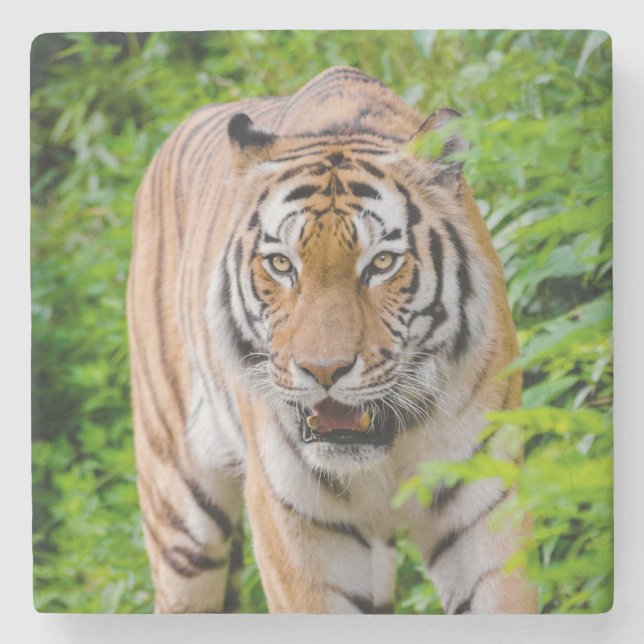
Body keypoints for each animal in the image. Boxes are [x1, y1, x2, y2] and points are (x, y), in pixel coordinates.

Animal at [127, 65, 538, 614]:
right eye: (282, 264)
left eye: (381, 263)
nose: (324, 371)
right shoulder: (297, 528)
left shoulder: (481, 501)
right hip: (180, 516)